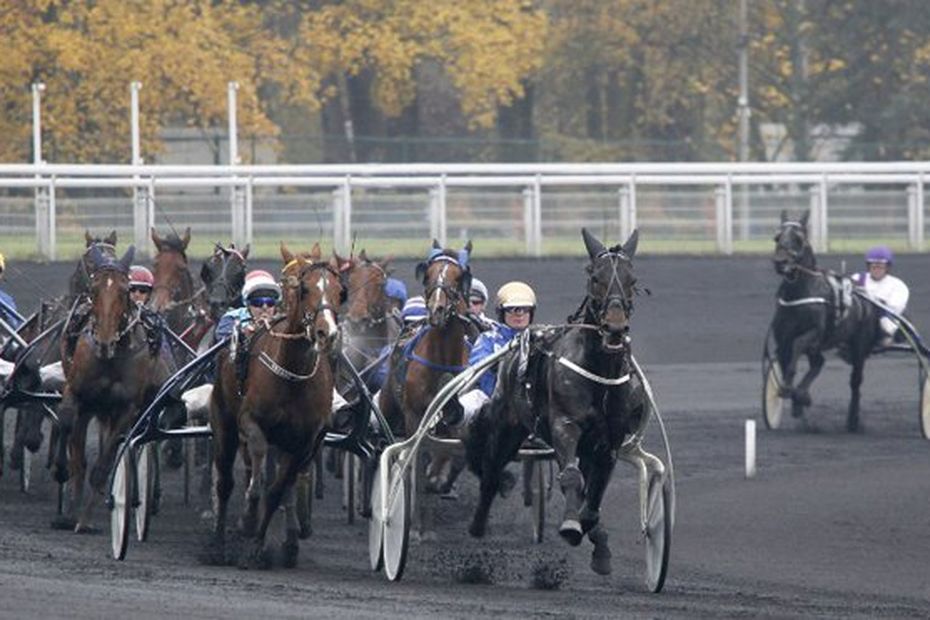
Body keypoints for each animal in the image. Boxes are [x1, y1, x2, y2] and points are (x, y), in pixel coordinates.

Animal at [51, 247, 172, 532]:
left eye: (124, 290)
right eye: (93, 289)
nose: (104, 341)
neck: (110, 358)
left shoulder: (126, 409)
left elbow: (103, 465)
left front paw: (84, 520)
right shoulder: (78, 394)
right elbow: (68, 428)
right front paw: (68, 505)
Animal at [207, 241, 344, 568]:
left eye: (340, 291)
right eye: (303, 288)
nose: (327, 334)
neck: (292, 374)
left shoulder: (304, 442)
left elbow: (278, 491)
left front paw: (258, 547)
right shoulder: (251, 422)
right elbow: (256, 477)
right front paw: (248, 518)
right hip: (224, 422)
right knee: (225, 482)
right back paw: (218, 545)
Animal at [464, 229, 644, 576]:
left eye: (633, 280)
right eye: (595, 278)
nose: (615, 329)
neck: (598, 374)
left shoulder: (609, 442)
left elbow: (594, 497)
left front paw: (597, 542)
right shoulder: (564, 426)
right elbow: (571, 477)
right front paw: (571, 526)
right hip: (506, 427)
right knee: (491, 471)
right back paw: (477, 526)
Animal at [772, 209, 880, 432]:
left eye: (798, 238)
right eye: (777, 238)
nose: (780, 262)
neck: (799, 293)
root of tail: (868, 301)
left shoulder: (814, 334)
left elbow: (797, 348)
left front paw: (798, 396)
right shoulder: (783, 339)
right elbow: (787, 368)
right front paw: (798, 398)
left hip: (859, 346)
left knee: (855, 382)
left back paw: (853, 420)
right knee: (818, 363)